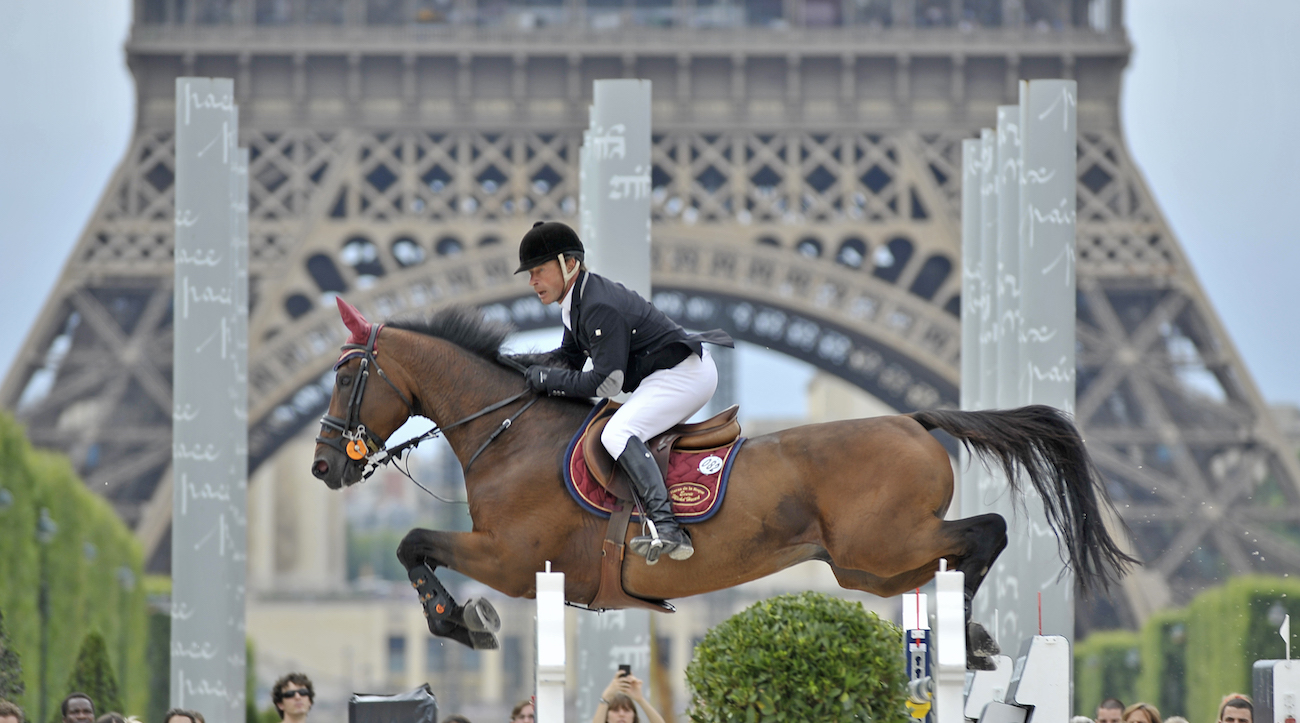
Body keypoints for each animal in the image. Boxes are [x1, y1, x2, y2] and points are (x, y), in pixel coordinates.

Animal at [314, 299, 1138, 665]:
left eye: (349, 376)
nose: (325, 465)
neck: (509, 431)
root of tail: (913, 419)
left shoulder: (515, 559)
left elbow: (412, 542)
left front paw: (463, 622)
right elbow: (414, 545)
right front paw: (461, 620)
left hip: (882, 543)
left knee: (986, 532)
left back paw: (967, 632)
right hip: (869, 565)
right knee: (957, 551)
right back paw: (970, 631)